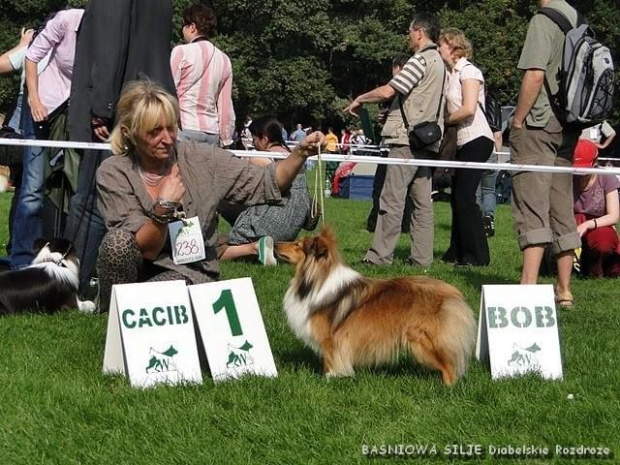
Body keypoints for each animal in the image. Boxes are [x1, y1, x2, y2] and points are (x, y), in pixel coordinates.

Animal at [278, 228, 478, 384]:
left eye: (298, 244)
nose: (276, 244)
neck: (316, 279)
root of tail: (453, 293)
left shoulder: (331, 338)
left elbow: (330, 360)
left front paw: (330, 378)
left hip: (423, 340)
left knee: (448, 367)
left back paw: (447, 388)